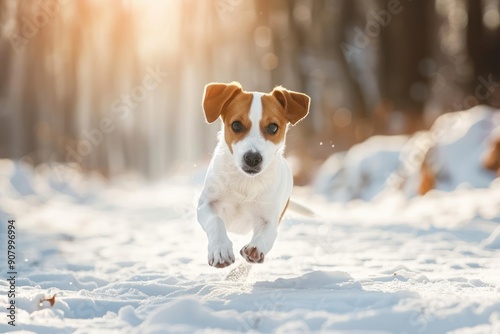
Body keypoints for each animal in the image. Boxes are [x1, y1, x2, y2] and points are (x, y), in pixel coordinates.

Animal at [196, 81, 308, 268]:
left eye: (273, 127)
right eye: (236, 125)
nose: (253, 158)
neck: (245, 181)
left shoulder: (269, 218)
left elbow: (267, 234)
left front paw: (255, 249)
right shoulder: (207, 205)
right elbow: (216, 221)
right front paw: (220, 250)